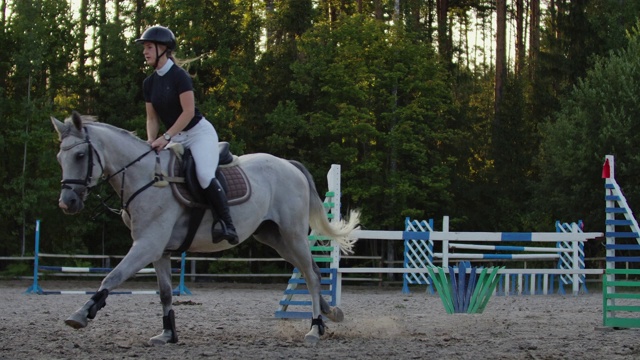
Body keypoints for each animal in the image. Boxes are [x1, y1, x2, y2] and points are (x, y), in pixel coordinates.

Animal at [50, 111, 360, 344]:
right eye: (59, 159)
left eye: (80, 156)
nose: (67, 203)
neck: (147, 177)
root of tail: (289, 164)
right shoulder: (159, 250)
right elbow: (165, 292)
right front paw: (168, 334)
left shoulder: (146, 245)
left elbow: (112, 277)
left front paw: (81, 314)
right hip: (274, 237)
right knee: (312, 271)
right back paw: (331, 314)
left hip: (292, 234)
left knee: (311, 275)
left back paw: (315, 328)